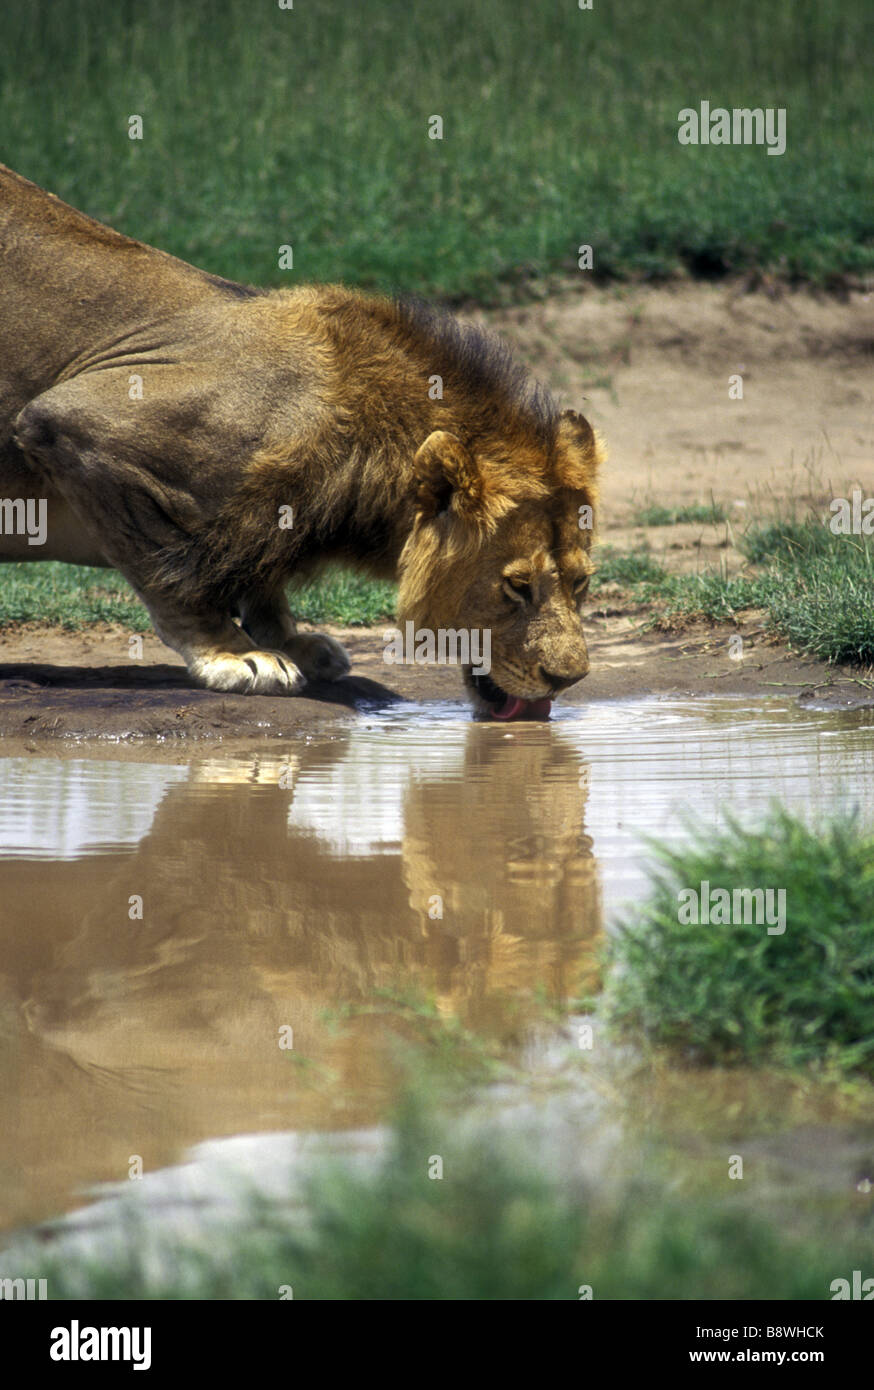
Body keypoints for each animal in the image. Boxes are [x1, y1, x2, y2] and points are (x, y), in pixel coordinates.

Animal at [0, 165, 600, 717]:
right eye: (516, 586)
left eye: (581, 583)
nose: (568, 679)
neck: (361, 440)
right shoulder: (78, 423)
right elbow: (173, 576)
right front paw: (233, 655)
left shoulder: (268, 515)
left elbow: (260, 575)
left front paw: (290, 641)